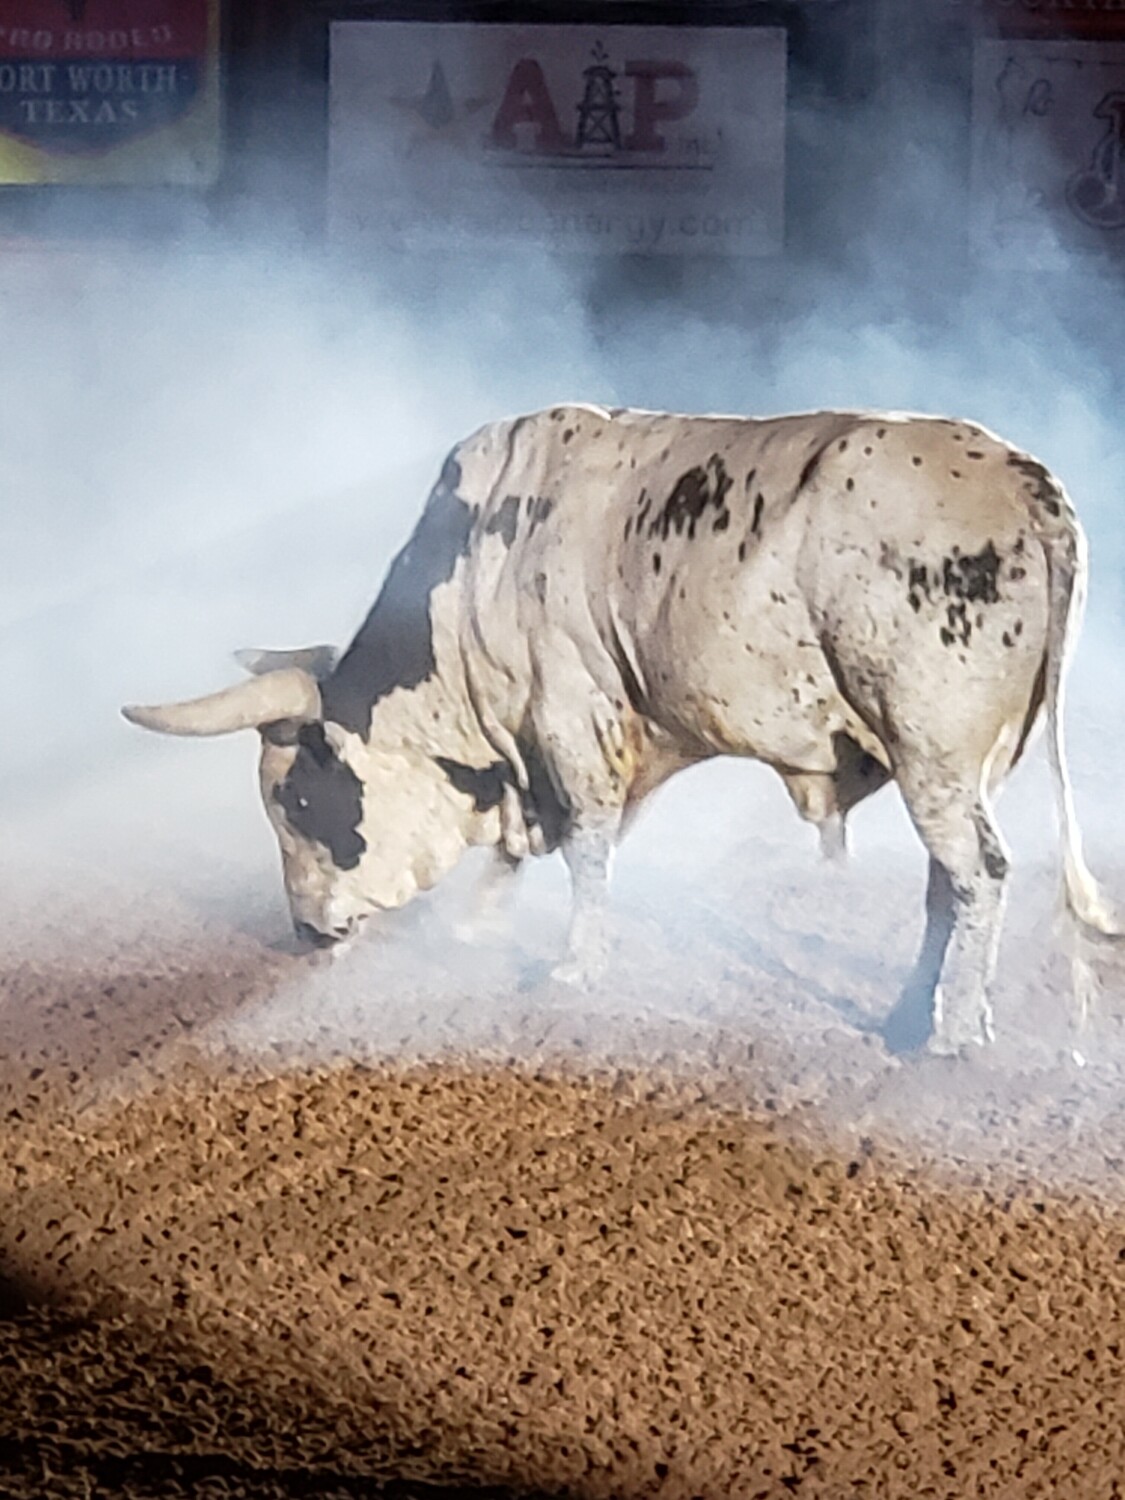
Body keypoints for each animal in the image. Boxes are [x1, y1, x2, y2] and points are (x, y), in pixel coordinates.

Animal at [123, 405, 1119, 1055]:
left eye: (297, 798)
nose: (305, 930)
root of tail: (1025, 487)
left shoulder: (571, 720)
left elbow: (588, 848)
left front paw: (572, 967)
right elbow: (530, 849)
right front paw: (481, 921)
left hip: (931, 752)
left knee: (978, 876)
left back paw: (951, 1031)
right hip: (955, 766)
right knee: (945, 885)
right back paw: (916, 1012)